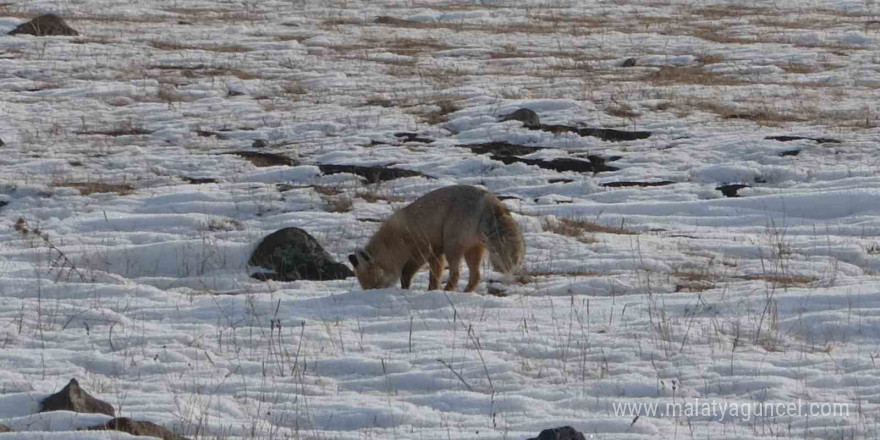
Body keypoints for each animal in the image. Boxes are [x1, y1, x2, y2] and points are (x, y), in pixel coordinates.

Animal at [348, 185, 524, 292]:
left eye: (372, 284)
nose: (370, 294)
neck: (393, 241)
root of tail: (491, 200)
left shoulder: (421, 251)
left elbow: (406, 274)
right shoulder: (437, 253)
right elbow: (434, 277)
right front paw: (432, 291)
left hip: (453, 248)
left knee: (456, 275)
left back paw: (448, 292)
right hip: (471, 251)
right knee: (475, 277)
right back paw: (465, 293)